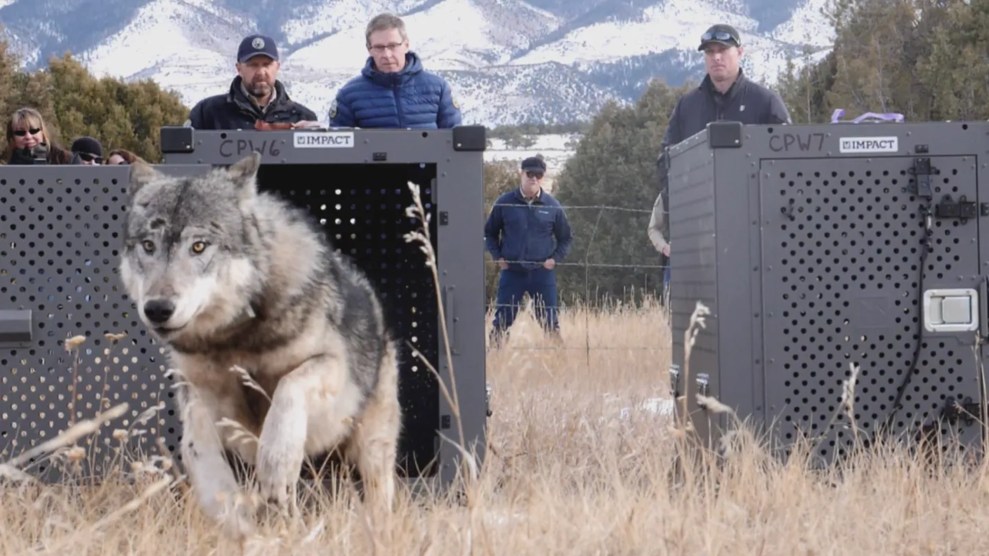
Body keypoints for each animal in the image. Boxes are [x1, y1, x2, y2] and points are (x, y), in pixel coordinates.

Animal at [119, 153, 401, 537]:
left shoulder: (332, 368)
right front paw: (226, 507)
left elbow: (289, 388)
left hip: (370, 447)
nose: (158, 309)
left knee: (378, 494)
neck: (235, 339)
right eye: (148, 246)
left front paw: (277, 462)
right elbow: (195, 447)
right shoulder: (199, 392)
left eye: (198, 246)